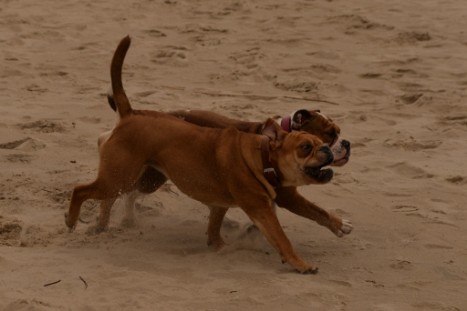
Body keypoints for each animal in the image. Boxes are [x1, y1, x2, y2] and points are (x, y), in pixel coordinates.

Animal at [66, 36, 352, 272]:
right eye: (327, 137)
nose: (344, 144)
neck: (264, 155)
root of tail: (132, 113)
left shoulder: (232, 203)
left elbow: (217, 228)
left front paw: (225, 243)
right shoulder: (279, 202)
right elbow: (298, 225)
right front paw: (306, 258)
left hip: (133, 175)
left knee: (113, 191)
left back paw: (104, 223)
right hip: (132, 177)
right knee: (86, 189)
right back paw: (75, 221)